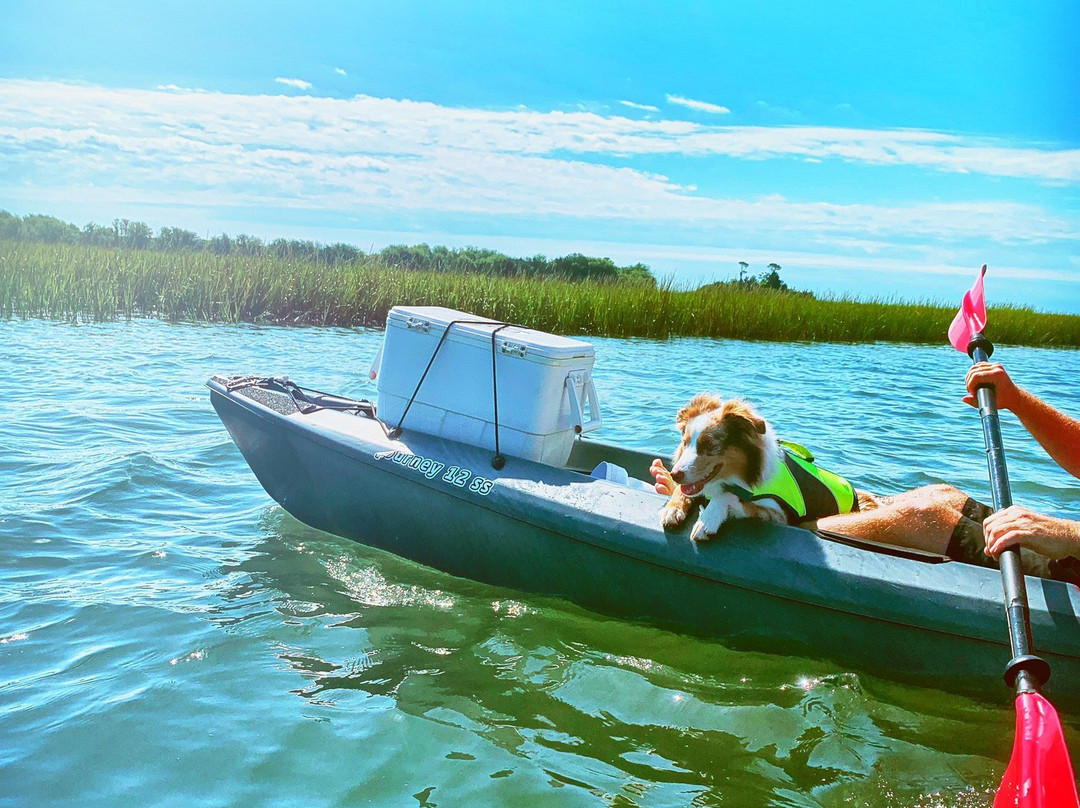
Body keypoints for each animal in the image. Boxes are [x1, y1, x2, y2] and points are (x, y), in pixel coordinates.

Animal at [652, 393, 790, 542]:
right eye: (685, 442)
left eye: (709, 445)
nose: (674, 475)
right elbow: (682, 490)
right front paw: (672, 509)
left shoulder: (777, 514)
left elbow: (726, 494)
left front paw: (706, 520)